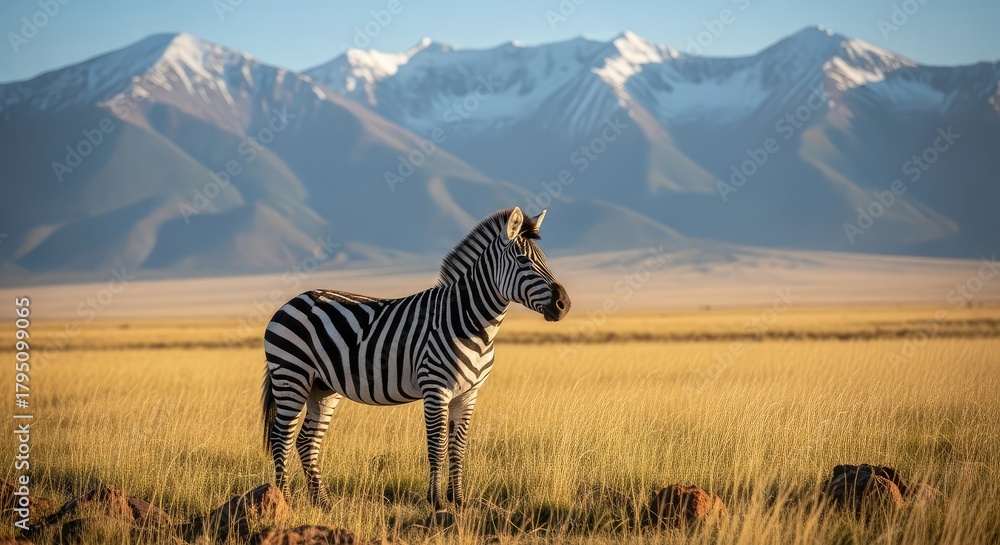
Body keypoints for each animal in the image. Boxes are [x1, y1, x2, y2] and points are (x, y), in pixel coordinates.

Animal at [261, 207, 571, 509]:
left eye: (545, 260)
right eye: (524, 261)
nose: (564, 305)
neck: (469, 322)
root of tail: (292, 301)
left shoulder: (469, 394)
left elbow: (458, 449)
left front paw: (459, 501)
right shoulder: (436, 388)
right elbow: (437, 446)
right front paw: (437, 502)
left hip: (322, 387)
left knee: (307, 441)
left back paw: (323, 502)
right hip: (291, 375)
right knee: (282, 438)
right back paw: (284, 500)